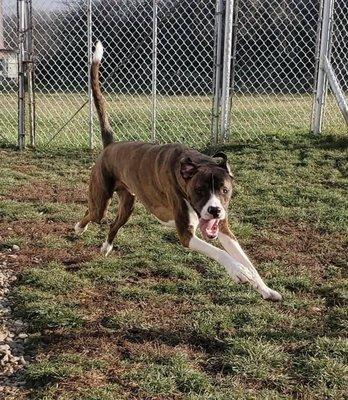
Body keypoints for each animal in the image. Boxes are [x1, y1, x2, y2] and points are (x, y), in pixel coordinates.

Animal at [75, 42, 282, 302]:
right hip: (100, 201)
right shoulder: (186, 234)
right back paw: (79, 228)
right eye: (200, 190)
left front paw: (264, 288)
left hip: (127, 205)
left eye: (224, 190)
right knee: (92, 213)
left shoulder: (223, 228)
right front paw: (237, 271)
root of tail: (111, 145)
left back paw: (106, 247)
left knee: (113, 224)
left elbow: (247, 260)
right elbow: (222, 254)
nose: (214, 210)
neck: (192, 166)